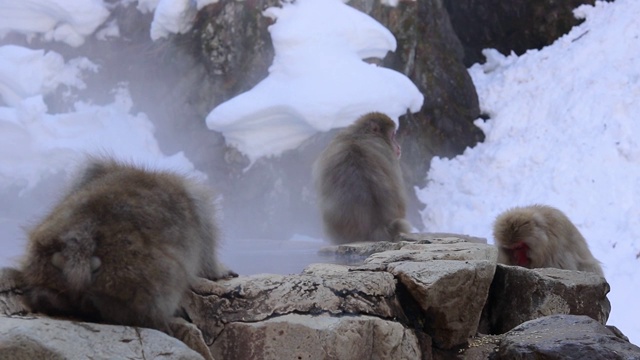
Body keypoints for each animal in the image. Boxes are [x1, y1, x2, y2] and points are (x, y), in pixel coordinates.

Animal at [21, 158, 238, 334]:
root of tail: (81, 244)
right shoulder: (201, 214)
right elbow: (207, 260)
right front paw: (220, 271)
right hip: (144, 284)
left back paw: (48, 298)